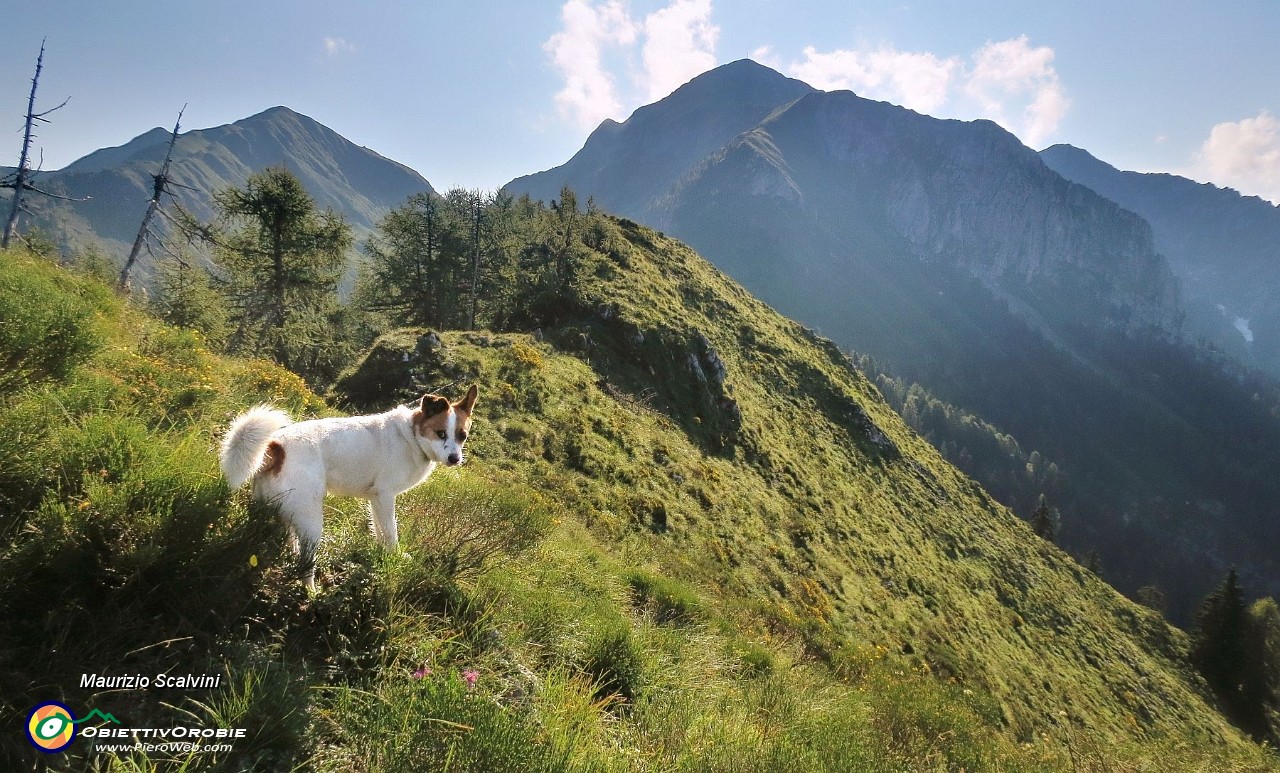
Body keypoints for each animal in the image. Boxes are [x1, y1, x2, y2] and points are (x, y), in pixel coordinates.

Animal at [220, 383, 481, 588]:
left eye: (462, 436)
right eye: (440, 433)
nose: (455, 459)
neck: (412, 436)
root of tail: (275, 446)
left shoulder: (376, 500)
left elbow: (380, 531)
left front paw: (384, 553)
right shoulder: (385, 496)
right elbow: (391, 533)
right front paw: (394, 556)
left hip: (279, 511)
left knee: (290, 539)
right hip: (312, 522)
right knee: (305, 564)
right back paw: (312, 592)